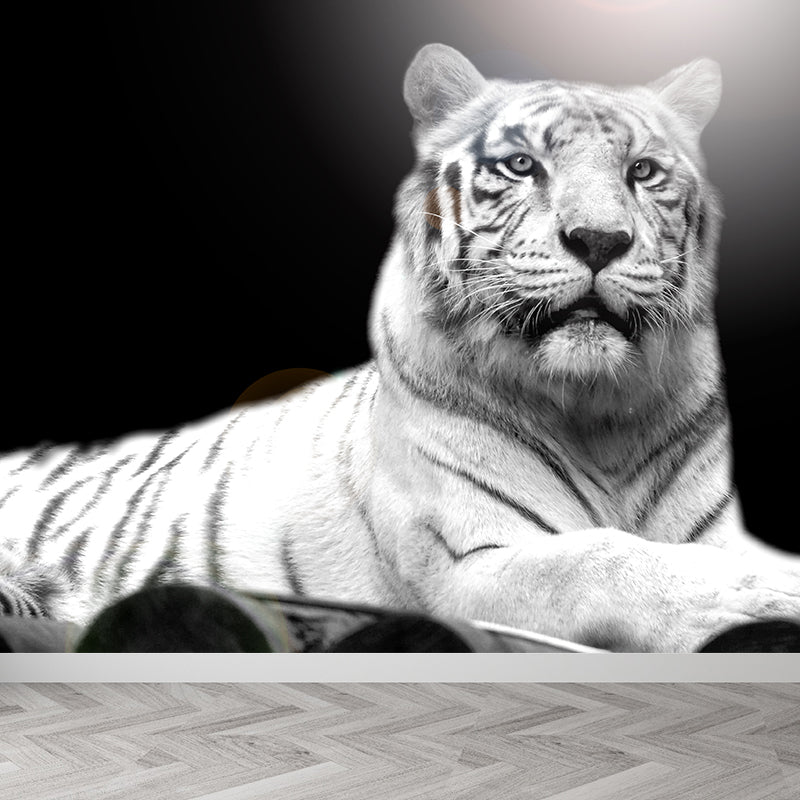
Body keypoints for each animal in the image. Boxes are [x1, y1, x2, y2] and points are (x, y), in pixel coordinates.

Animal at [1, 43, 798, 652]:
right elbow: (597, 558)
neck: (601, 413)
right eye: (521, 166)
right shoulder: (468, 566)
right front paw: (751, 592)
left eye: (643, 171)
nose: (600, 240)